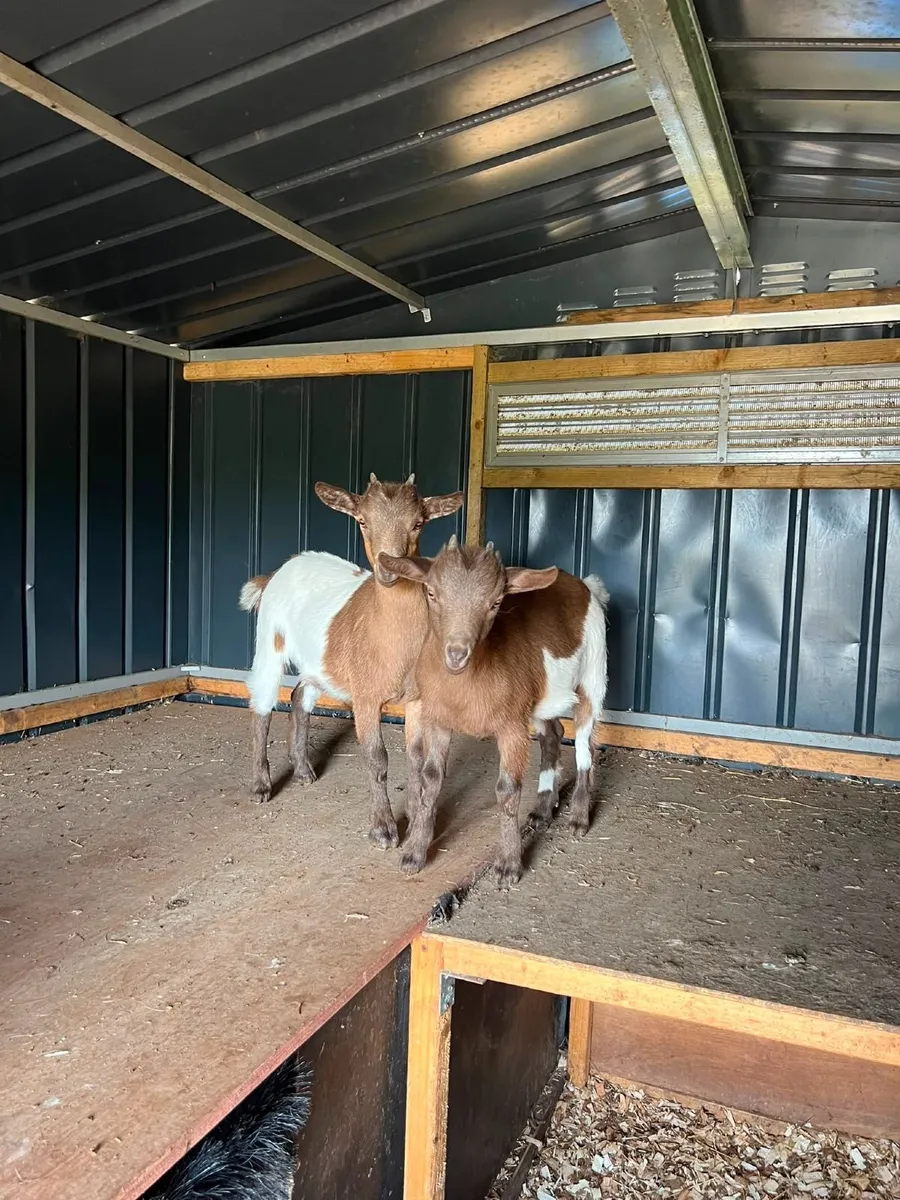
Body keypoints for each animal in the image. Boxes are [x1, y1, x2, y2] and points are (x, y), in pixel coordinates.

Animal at [239, 474, 462, 848]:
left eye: (418, 523)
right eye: (361, 520)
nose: (389, 567)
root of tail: (278, 571)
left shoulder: (417, 699)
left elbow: (416, 758)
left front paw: (416, 813)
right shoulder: (366, 696)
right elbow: (377, 757)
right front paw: (384, 829)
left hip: (320, 662)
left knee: (300, 694)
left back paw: (303, 769)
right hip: (270, 637)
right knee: (262, 703)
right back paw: (260, 785)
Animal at [379, 537, 609, 887]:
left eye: (496, 601)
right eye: (431, 592)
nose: (457, 653)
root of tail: (586, 586)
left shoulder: (511, 725)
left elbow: (508, 789)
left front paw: (509, 865)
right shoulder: (439, 719)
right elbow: (431, 778)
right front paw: (414, 852)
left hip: (593, 674)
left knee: (585, 744)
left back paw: (579, 817)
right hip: (539, 695)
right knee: (553, 735)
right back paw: (542, 811)